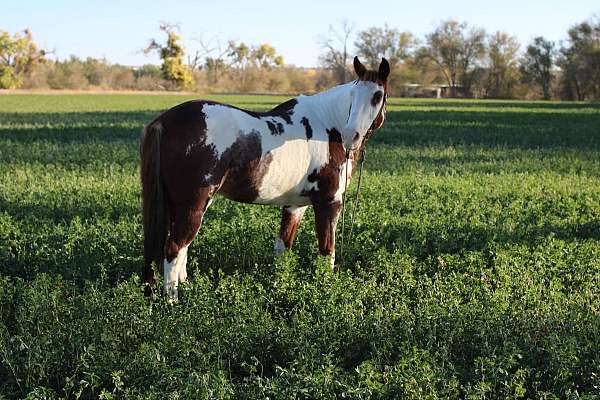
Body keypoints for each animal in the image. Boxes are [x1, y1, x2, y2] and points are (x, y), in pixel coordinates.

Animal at [140, 57, 390, 298]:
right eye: (353, 94)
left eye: (377, 96)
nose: (351, 136)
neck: (328, 126)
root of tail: (164, 121)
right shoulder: (329, 202)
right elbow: (327, 251)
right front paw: (326, 287)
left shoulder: (295, 205)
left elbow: (283, 247)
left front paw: (279, 284)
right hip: (193, 205)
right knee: (174, 248)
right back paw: (173, 301)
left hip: (182, 206)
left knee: (180, 249)